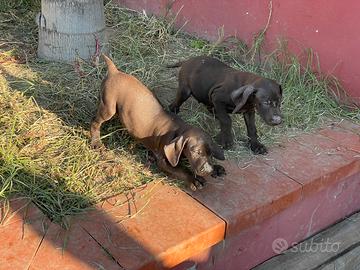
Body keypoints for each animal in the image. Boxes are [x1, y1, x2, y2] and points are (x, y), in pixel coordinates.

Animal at [90, 54, 225, 190]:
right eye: (196, 152)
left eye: (210, 153)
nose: (207, 171)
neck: (179, 129)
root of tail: (115, 72)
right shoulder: (163, 161)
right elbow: (182, 170)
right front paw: (194, 180)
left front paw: (216, 168)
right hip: (108, 107)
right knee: (95, 121)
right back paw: (96, 142)